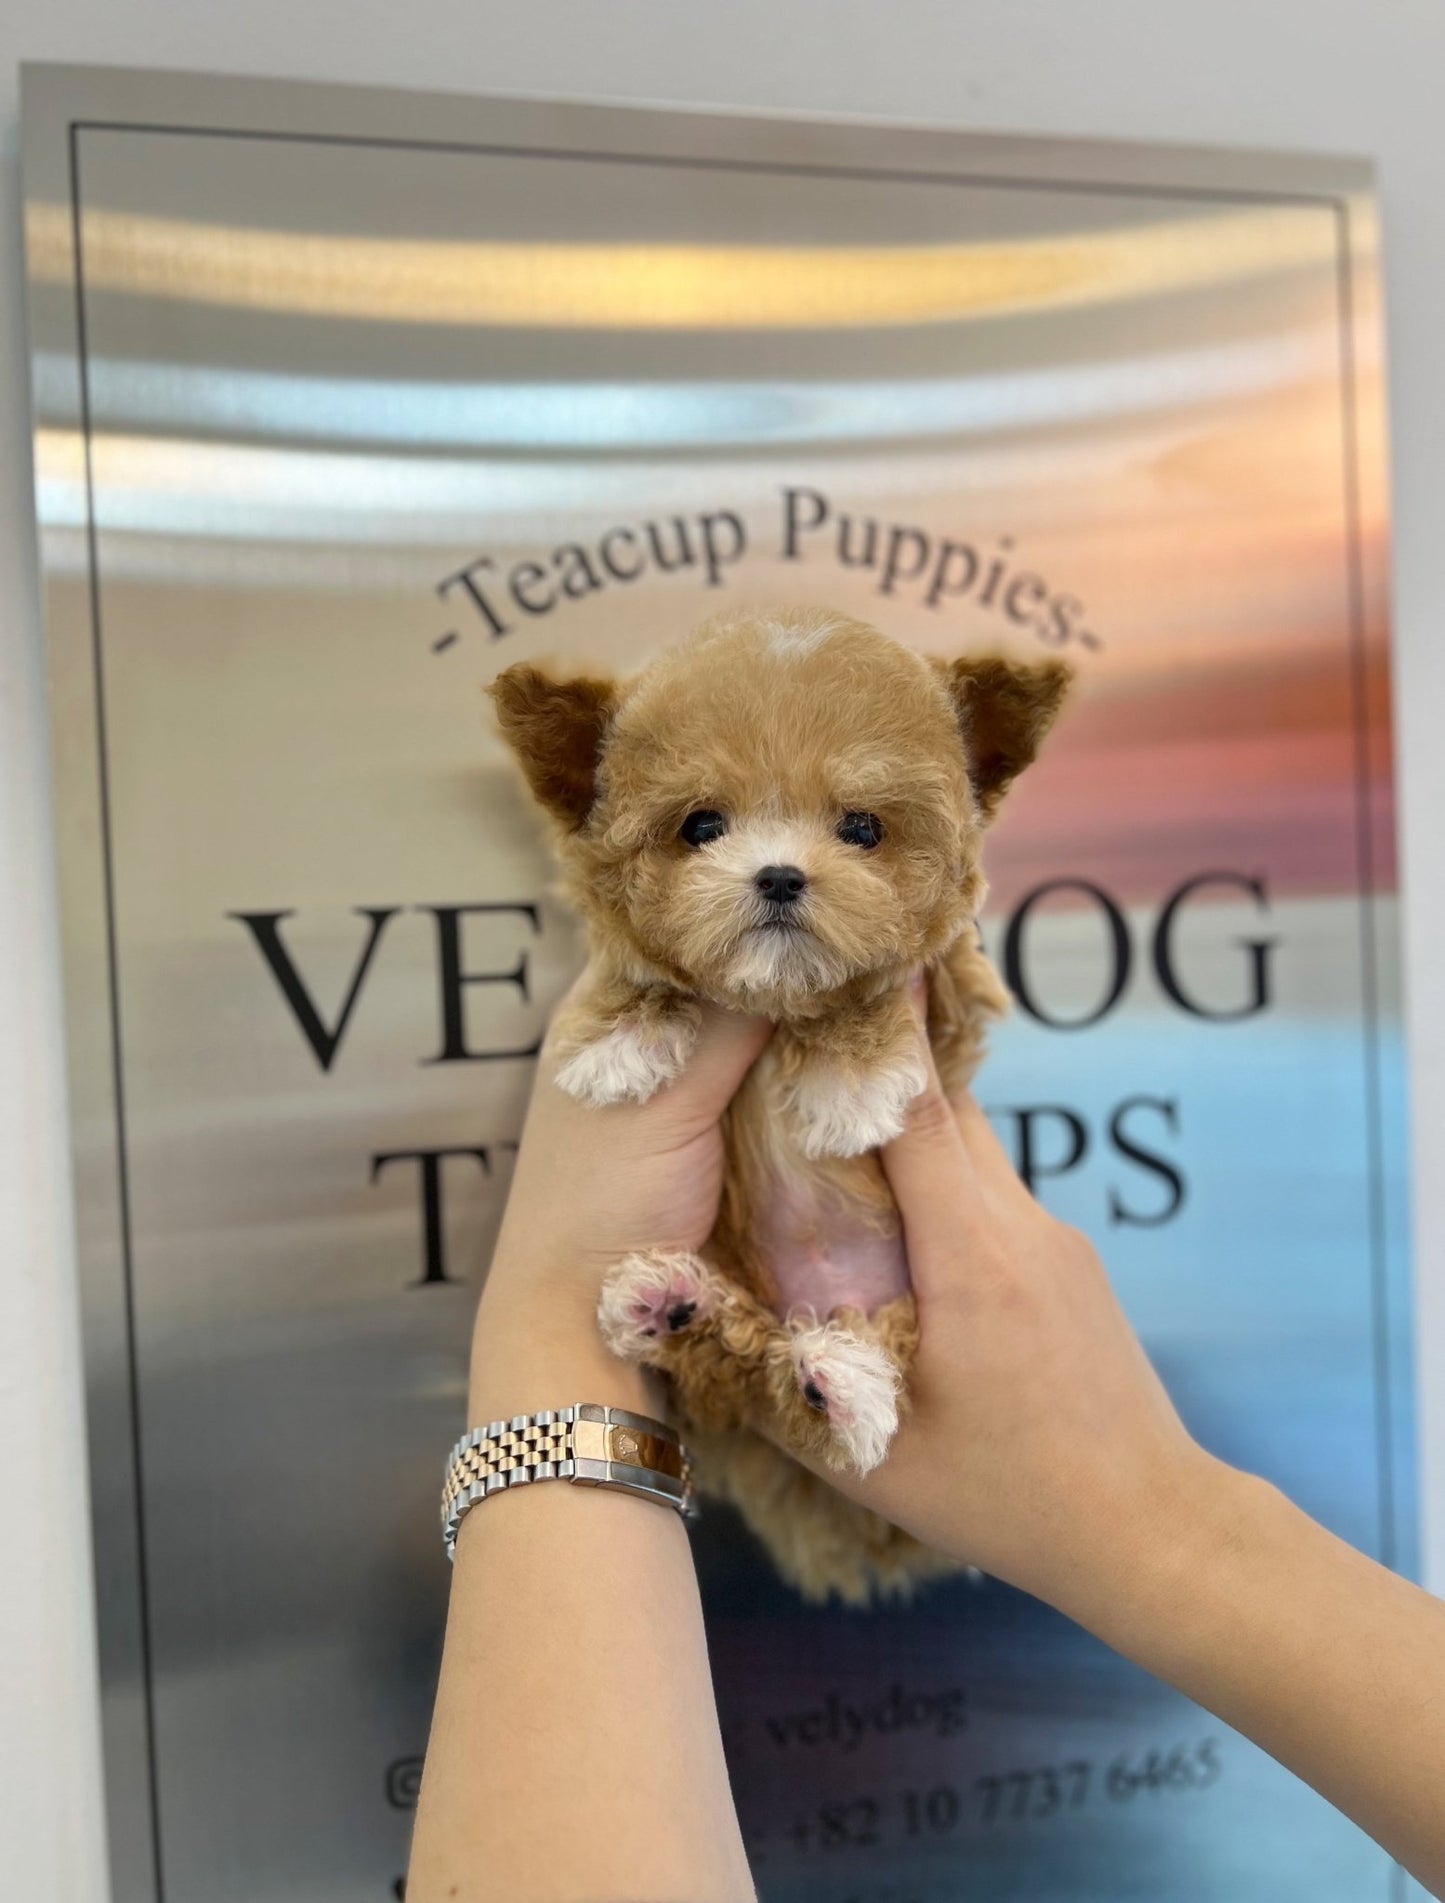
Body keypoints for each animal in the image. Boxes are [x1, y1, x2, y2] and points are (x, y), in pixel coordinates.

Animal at [491, 612, 1066, 1606]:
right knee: (738, 1371)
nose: (779, 876)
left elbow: (870, 998)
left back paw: (839, 1387)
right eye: (701, 826)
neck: (778, 999)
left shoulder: (947, 993)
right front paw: (619, 1040)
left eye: (863, 827)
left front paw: (849, 1081)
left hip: (909, 1320)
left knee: (853, 1372)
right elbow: (646, 977)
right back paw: (678, 1312)